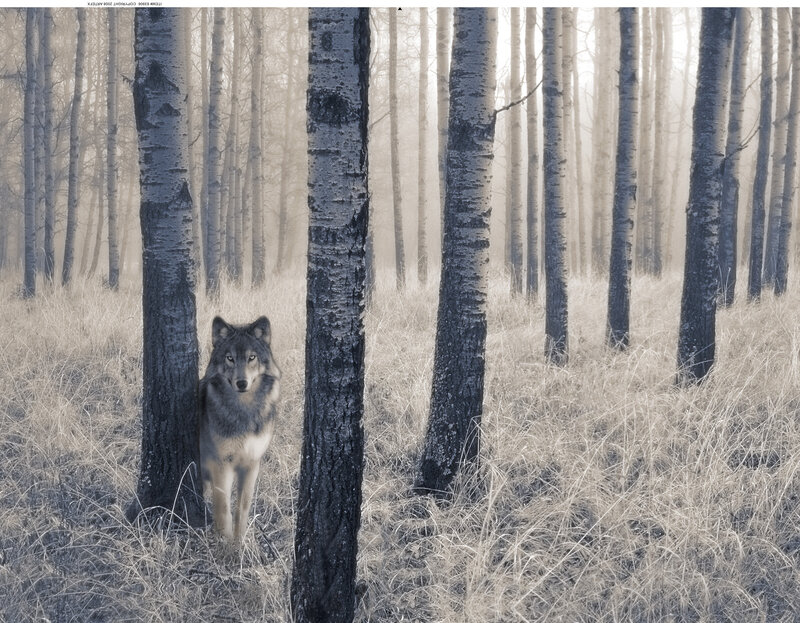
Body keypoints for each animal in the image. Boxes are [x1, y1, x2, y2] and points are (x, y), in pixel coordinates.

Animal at [198, 316, 280, 542]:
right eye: (230, 358)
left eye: (252, 357)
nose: (241, 383)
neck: (243, 411)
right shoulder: (221, 465)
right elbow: (224, 511)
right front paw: (226, 546)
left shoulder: (252, 464)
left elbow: (242, 509)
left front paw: (240, 543)